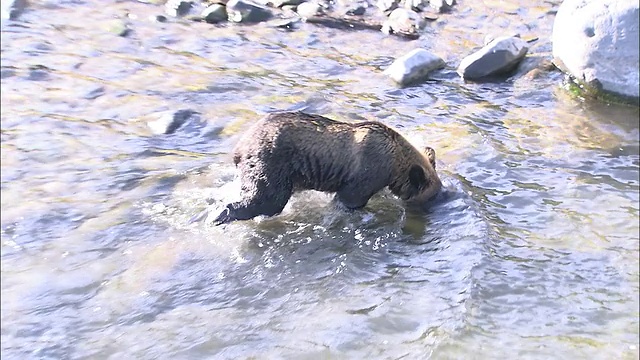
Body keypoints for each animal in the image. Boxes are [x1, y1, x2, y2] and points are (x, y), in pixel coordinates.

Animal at [208, 111, 442, 226]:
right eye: (427, 197)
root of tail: (239, 147)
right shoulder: (367, 173)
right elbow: (348, 199)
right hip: (272, 163)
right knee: (266, 199)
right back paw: (219, 216)